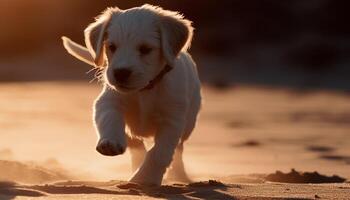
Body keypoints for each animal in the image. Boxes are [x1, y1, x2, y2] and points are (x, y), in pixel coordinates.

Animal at [61, 4, 201, 186]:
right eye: (112, 47)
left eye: (145, 49)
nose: (120, 73)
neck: (144, 90)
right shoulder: (108, 101)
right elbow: (110, 118)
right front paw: (111, 142)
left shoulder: (172, 120)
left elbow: (159, 153)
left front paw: (144, 179)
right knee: (136, 145)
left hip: (188, 125)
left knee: (178, 150)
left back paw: (179, 175)